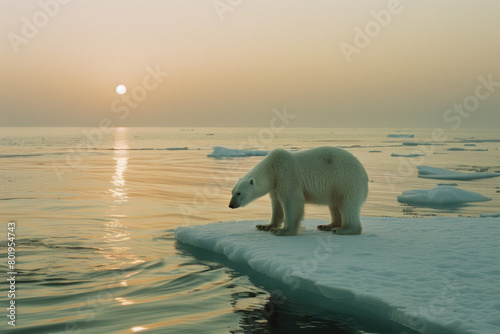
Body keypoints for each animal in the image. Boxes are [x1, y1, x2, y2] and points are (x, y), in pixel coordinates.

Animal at [229, 146, 368, 235]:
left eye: (239, 193)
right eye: (232, 192)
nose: (231, 205)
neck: (271, 168)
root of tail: (364, 174)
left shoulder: (286, 174)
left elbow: (292, 200)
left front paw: (281, 231)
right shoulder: (275, 184)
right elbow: (276, 204)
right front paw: (264, 226)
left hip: (346, 180)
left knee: (347, 204)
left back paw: (343, 229)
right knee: (334, 205)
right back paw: (327, 225)